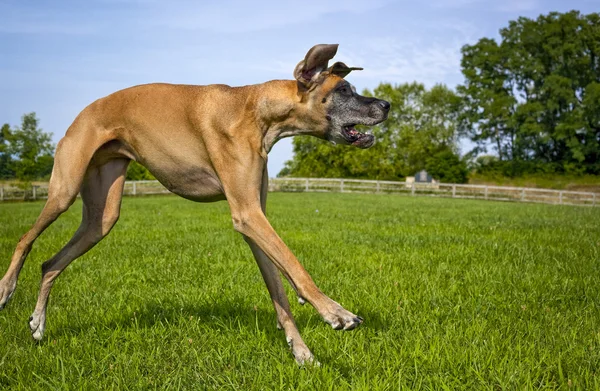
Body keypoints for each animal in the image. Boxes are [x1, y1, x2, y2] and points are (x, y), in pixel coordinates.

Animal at [0, 44, 392, 366]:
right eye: (343, 90)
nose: (387, 105)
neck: (257, 111)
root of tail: (81, 114)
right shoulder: (248, 216)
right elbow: (296, 266)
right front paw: (334, 312)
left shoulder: (254, 219)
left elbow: (279, 290)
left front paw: (302, 352)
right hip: (64, 190)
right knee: (25, 239)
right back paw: (6, 289)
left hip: (101, 217)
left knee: (50, 264)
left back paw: (38, 323)